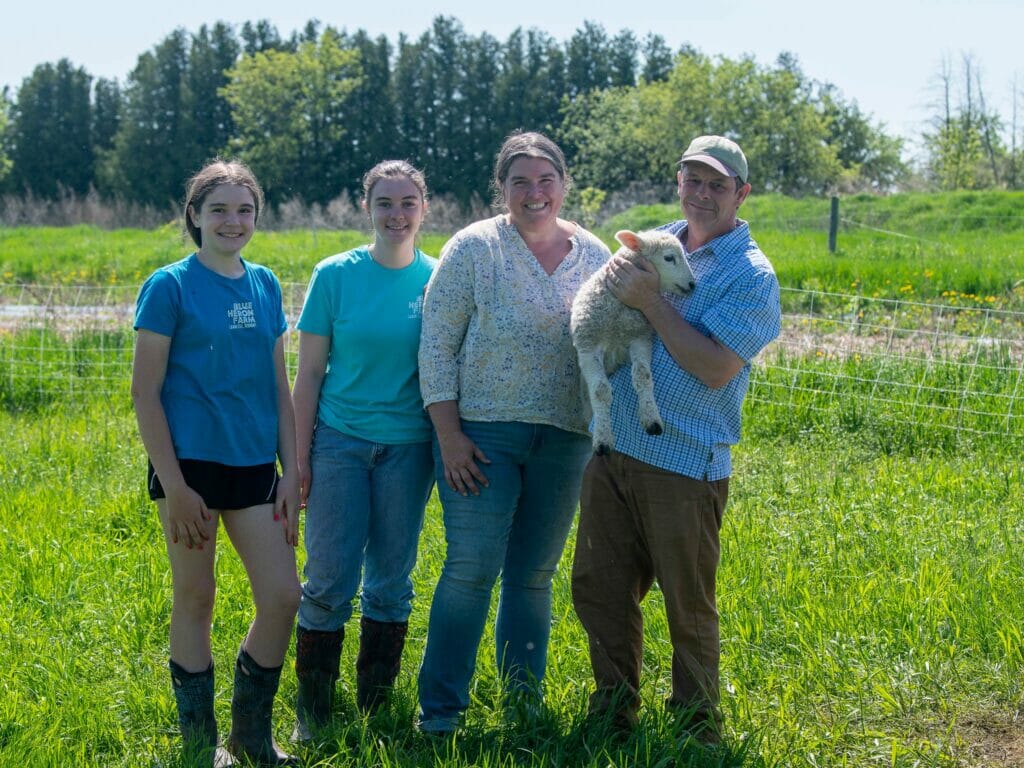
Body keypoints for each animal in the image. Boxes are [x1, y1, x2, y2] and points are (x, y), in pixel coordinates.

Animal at [569, 231, 696, 454]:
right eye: (669, 258)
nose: (692, 285)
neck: (617, 312)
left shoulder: (640, 337)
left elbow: (643, 376)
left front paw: (652, 420)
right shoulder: (588, 345)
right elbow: (600, 391)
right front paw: (603, 438)